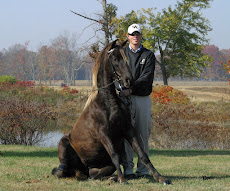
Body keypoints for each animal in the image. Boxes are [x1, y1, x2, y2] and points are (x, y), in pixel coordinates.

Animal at [52, 40, 171, 185]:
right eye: (114, 58)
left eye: (125, 58)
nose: (128, 80)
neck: (108, 102)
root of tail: (85, 169)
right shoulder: (103, 134)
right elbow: (115, 155)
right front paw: (123, 179)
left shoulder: (128, 129)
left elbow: (142, 154)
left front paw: (160, 177)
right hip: (64, 143)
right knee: (65, 171)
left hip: (101, 168)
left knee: (94, 175)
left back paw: (111, 178)